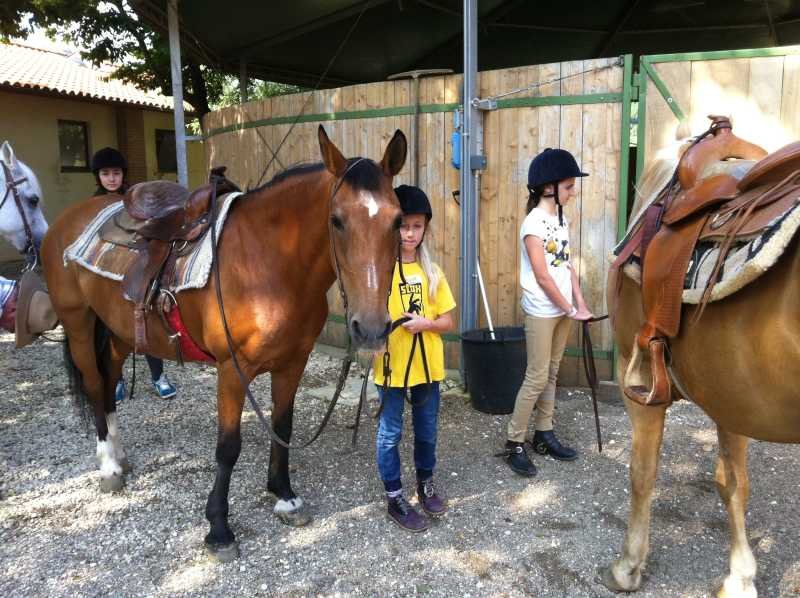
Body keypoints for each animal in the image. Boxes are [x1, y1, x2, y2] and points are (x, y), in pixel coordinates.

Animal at [40, 125, 407, 561]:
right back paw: (109, 466)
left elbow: (282, 424)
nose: (371, 329)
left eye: (397, 220)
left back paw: (120, 454)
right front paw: (218, 527)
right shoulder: (232, 369)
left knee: (109, 378)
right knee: (96, 384)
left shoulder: (293, 362)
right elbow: (228, 446)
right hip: (79, 322)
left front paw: (284, 496)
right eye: (336, 220)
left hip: (117, 329)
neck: (269, 264)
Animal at [602, 133, 800, 597]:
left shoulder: (640, 387)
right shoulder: (734, 397)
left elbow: (642, 472)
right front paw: (740, 576)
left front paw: (628, 566)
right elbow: (734, 483)